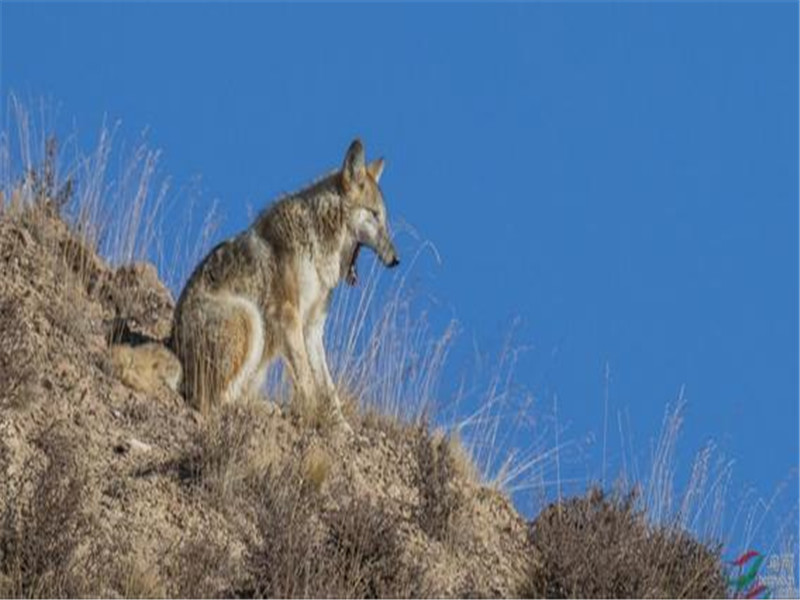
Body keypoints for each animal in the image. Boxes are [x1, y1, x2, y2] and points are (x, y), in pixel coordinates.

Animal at [111, 139, 398, 432]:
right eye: (375, 215)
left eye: (384, 219)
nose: (396, 259)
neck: (318, 245)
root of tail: (175, 348)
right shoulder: (288, 316)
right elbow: (306, 379)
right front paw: (311, 417)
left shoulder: (313, 327)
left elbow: (327, 387)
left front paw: (341, 427)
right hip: (249, 318)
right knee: (210, 401)